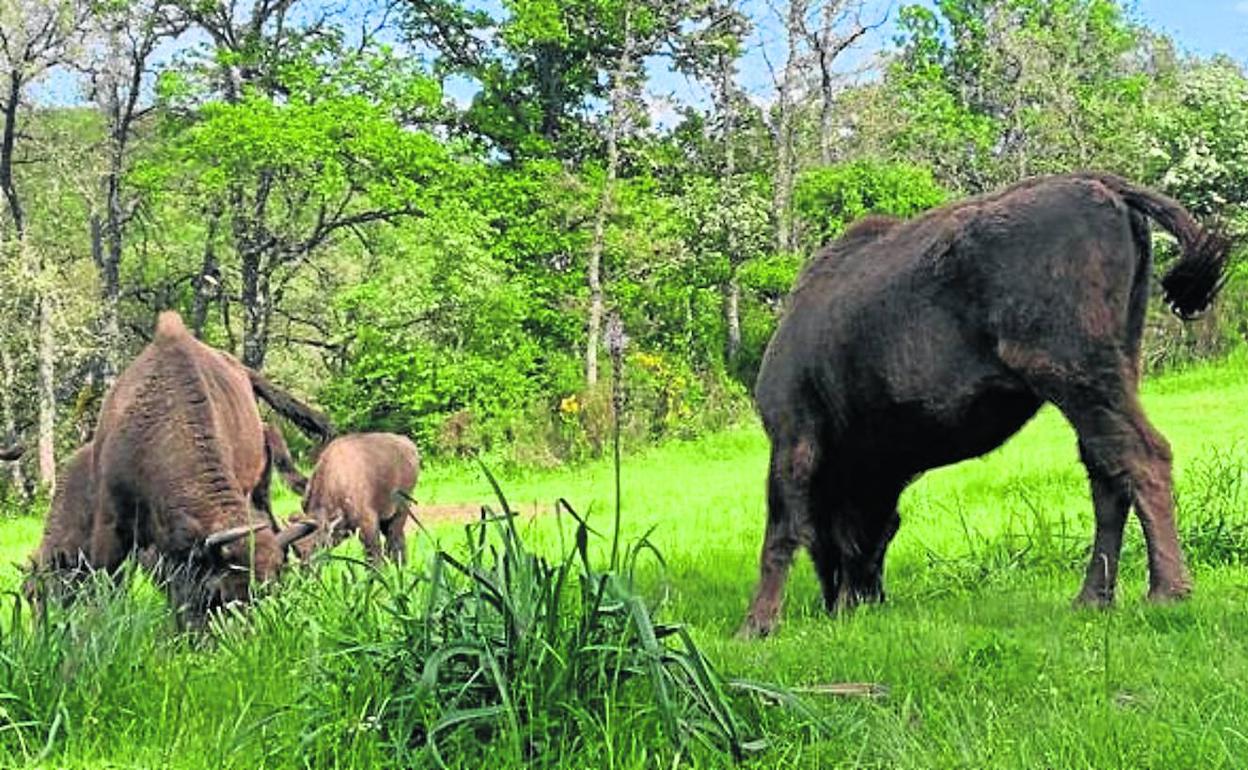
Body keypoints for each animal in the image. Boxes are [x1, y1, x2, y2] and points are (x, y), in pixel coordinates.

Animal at [293, 431, 424, 564]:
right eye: (296, 550)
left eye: (317, 544)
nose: (305, 565)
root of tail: (409, 445)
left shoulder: (368, 523)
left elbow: (373, 552)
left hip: (401, 509)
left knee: (394, 539)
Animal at [733, 172, 1233, 636]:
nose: (851, 602)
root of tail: (1102, 185)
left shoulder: (792, 434)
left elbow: (780, 529)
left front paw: (755, 626)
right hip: (1111, 372)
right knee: (1108, 473)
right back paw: (1092, 598)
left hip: (1076, 375)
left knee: (1142, 456)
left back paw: (1166, 591)